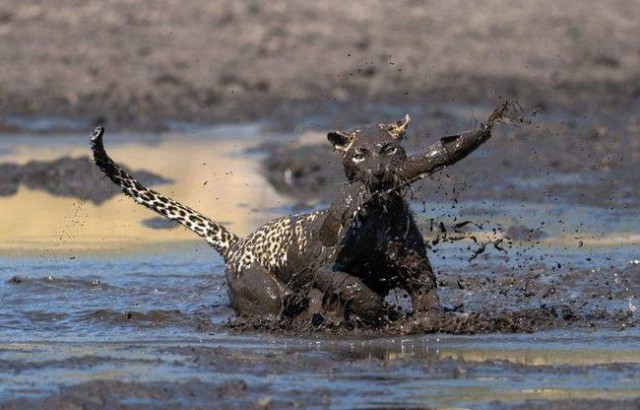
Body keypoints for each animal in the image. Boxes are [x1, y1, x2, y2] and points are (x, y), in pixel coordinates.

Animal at [89, 101, 510, 326]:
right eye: (360, 153)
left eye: (388, 148)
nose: (377, 172)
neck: (381, 214)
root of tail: (237, 244)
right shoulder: (327, 269)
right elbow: (353, 288)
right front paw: (380, 313)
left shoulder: (418, 273)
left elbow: (426, 301)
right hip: (265, 294)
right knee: (277, 307)